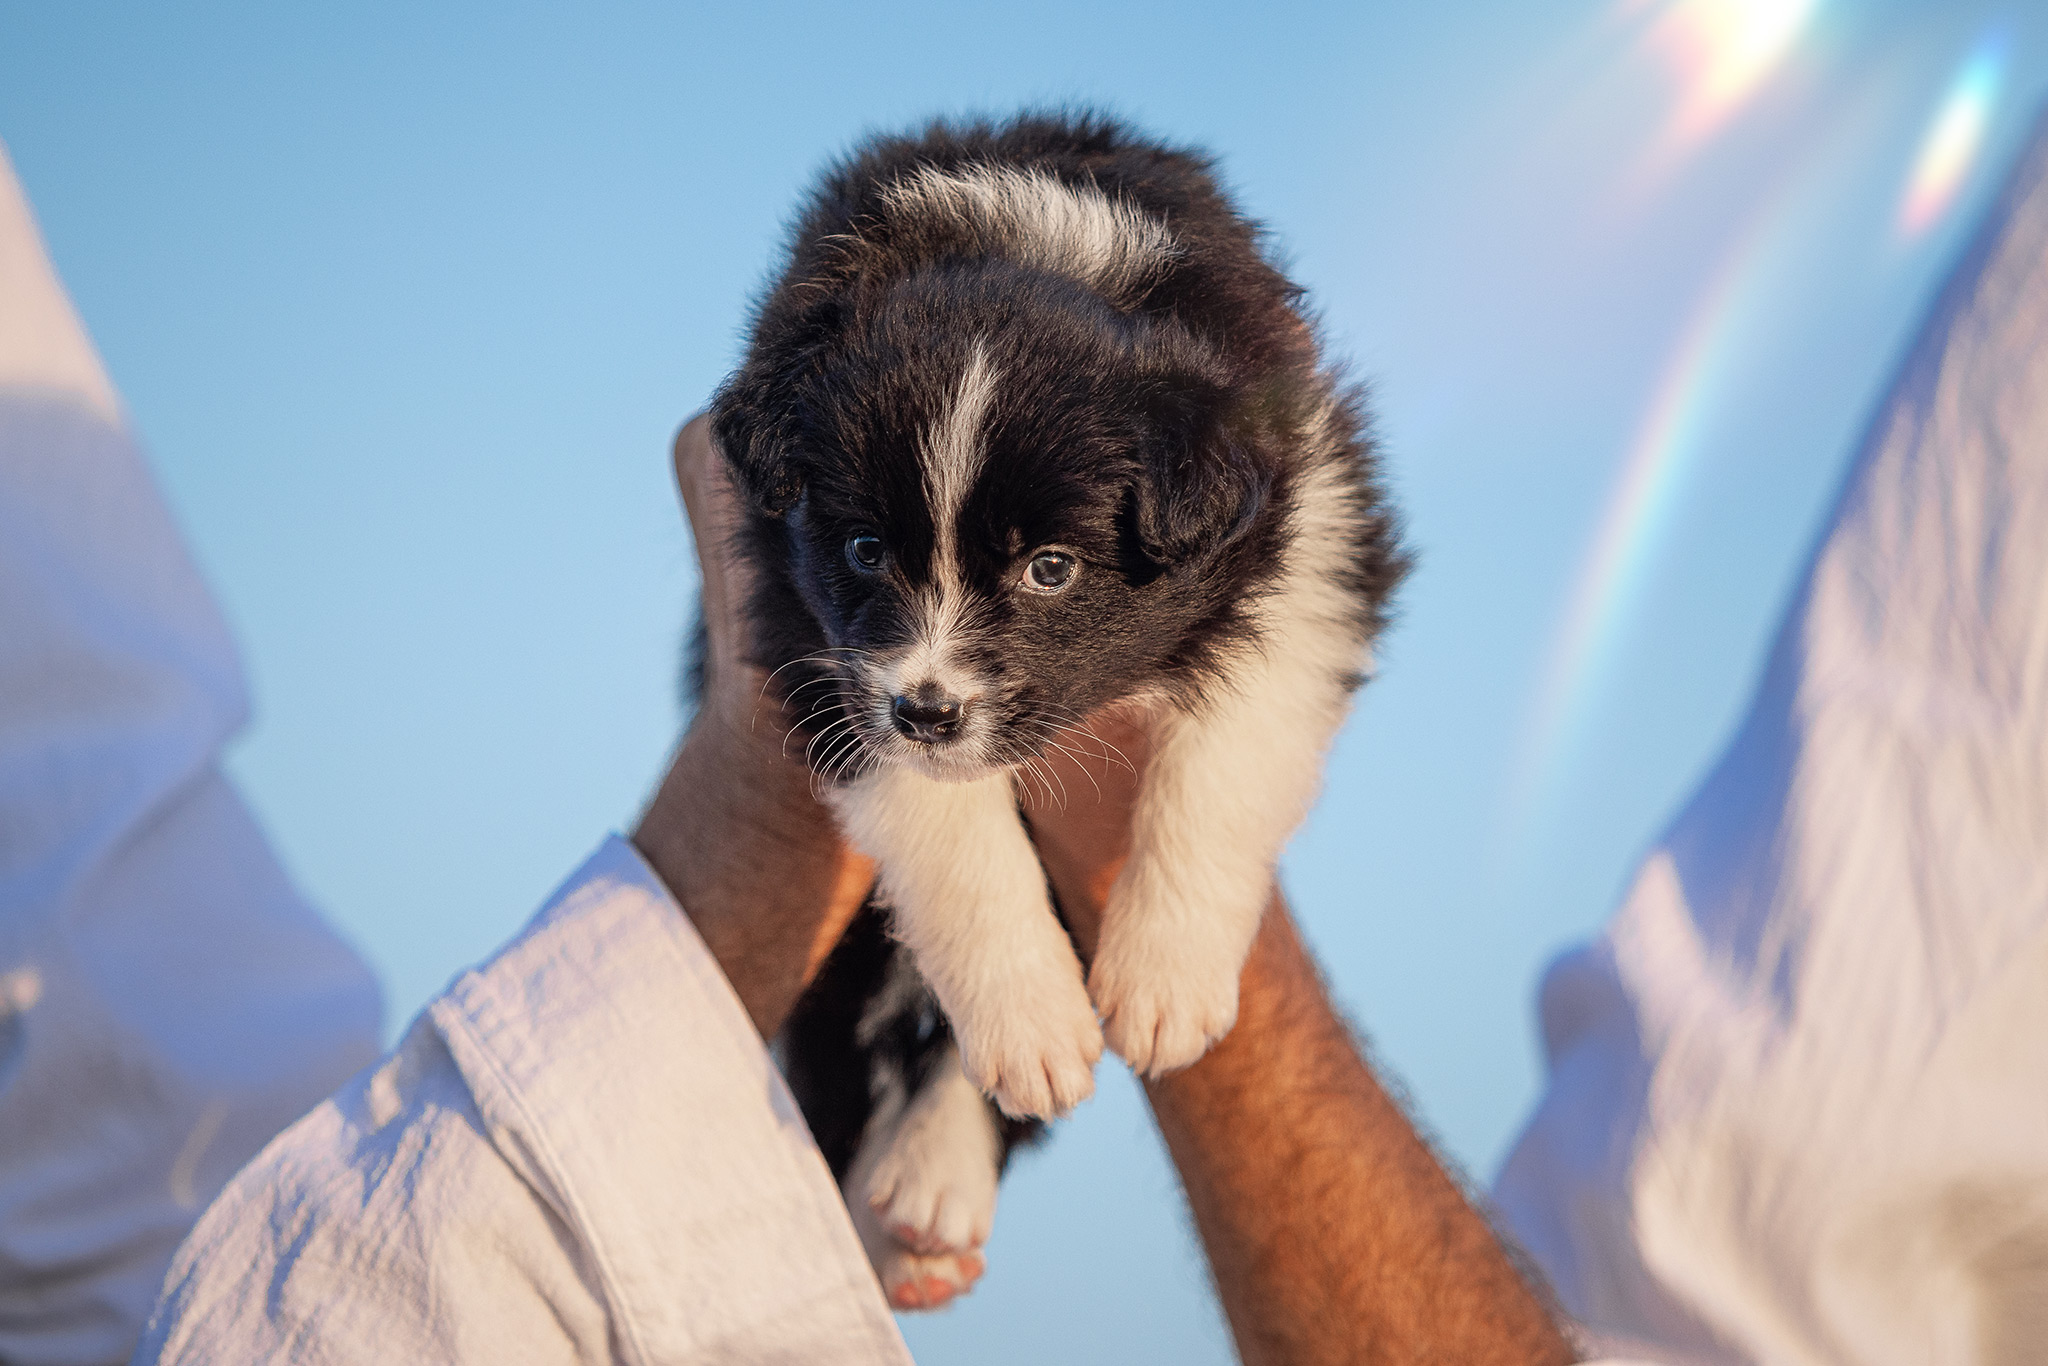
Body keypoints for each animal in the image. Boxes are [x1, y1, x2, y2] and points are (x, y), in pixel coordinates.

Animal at [708, 112, 1409, 1310]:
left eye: (1050, 568)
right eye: (863, 550)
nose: (928, 712)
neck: (1031, 242)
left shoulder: (1312, 533)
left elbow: (1227, 758)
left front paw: (1167, 979)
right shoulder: (814, 638)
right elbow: (952, 839)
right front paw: (1028, 1015)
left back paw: (935, 1172)